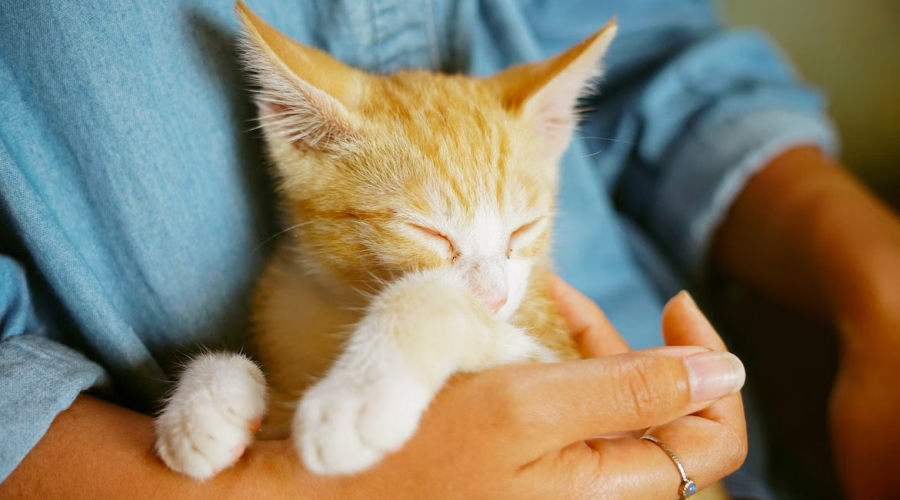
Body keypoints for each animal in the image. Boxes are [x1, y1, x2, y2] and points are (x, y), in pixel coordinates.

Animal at [156, 0, 620, 476]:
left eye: (523, 228)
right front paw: (204, 403)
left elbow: (430, 296)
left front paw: (355, 396)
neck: (343, 306)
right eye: (427, 232)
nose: (494, 300)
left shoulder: (563, 373)